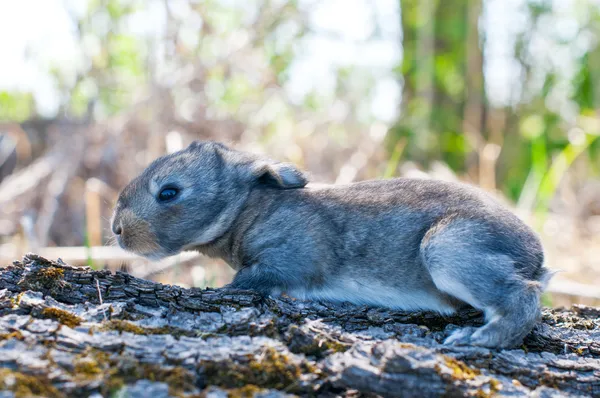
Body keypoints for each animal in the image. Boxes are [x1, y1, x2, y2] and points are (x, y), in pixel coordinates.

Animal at [112, 141, 548, 346]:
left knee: (521, 297)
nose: (116, 229)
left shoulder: (287, 259)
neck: (248, 209)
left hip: (446, 248)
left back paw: (478, 339)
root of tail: (536, 257)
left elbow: (254, 281)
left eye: (169, 192)